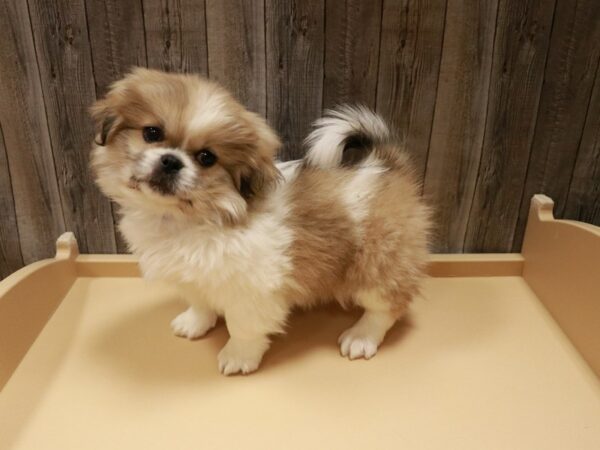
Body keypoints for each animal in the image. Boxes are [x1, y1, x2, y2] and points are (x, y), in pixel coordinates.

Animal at [90, 67, 432, 376]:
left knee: (387, 306)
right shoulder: (194, 277)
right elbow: (200, 301)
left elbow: (243, 327)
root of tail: (386, 165)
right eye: (152, 133)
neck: (190, 218)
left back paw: (361, 337)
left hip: (376, 265)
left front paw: (238, 357)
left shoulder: (251, 291)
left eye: (206, 158)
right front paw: (195, 323)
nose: (171, 161)